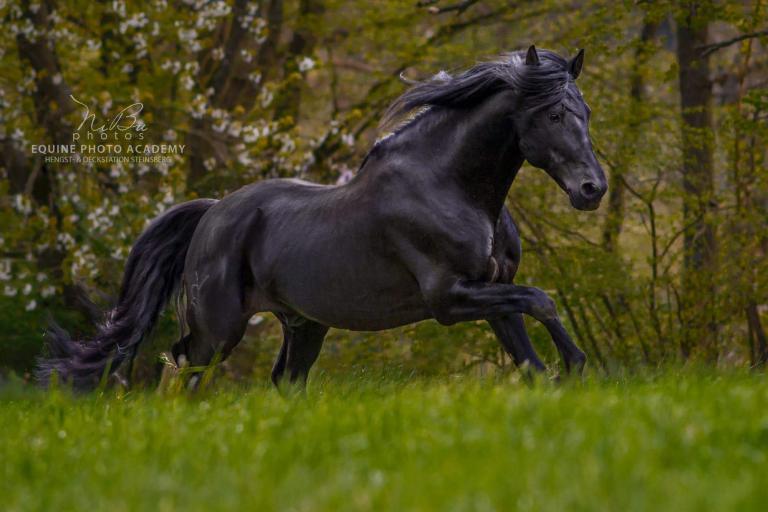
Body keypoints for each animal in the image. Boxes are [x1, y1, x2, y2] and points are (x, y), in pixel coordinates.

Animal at [38, 46, 606, 390]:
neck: (452, 187)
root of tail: (211, 213)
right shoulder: (449, 299)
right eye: (555, 113)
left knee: (284, 382)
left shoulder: (491, 295)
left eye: (586, 112)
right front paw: (578, 365)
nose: (592, 189)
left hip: (304, 325)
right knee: (181, 372)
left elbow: (530, 356)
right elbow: (543, 300)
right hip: (216, 330)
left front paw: (565, 373)